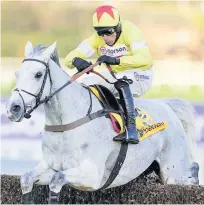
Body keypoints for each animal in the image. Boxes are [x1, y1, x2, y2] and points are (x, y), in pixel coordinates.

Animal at [6, 41, 199, 203]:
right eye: (17, 73)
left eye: (38, 74)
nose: (13, 108)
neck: (66, 122)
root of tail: (167, 106)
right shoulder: (50, 166)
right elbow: (26, 178)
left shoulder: (92, 175)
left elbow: (57, 179)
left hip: (174, 171)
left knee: (190, 173)